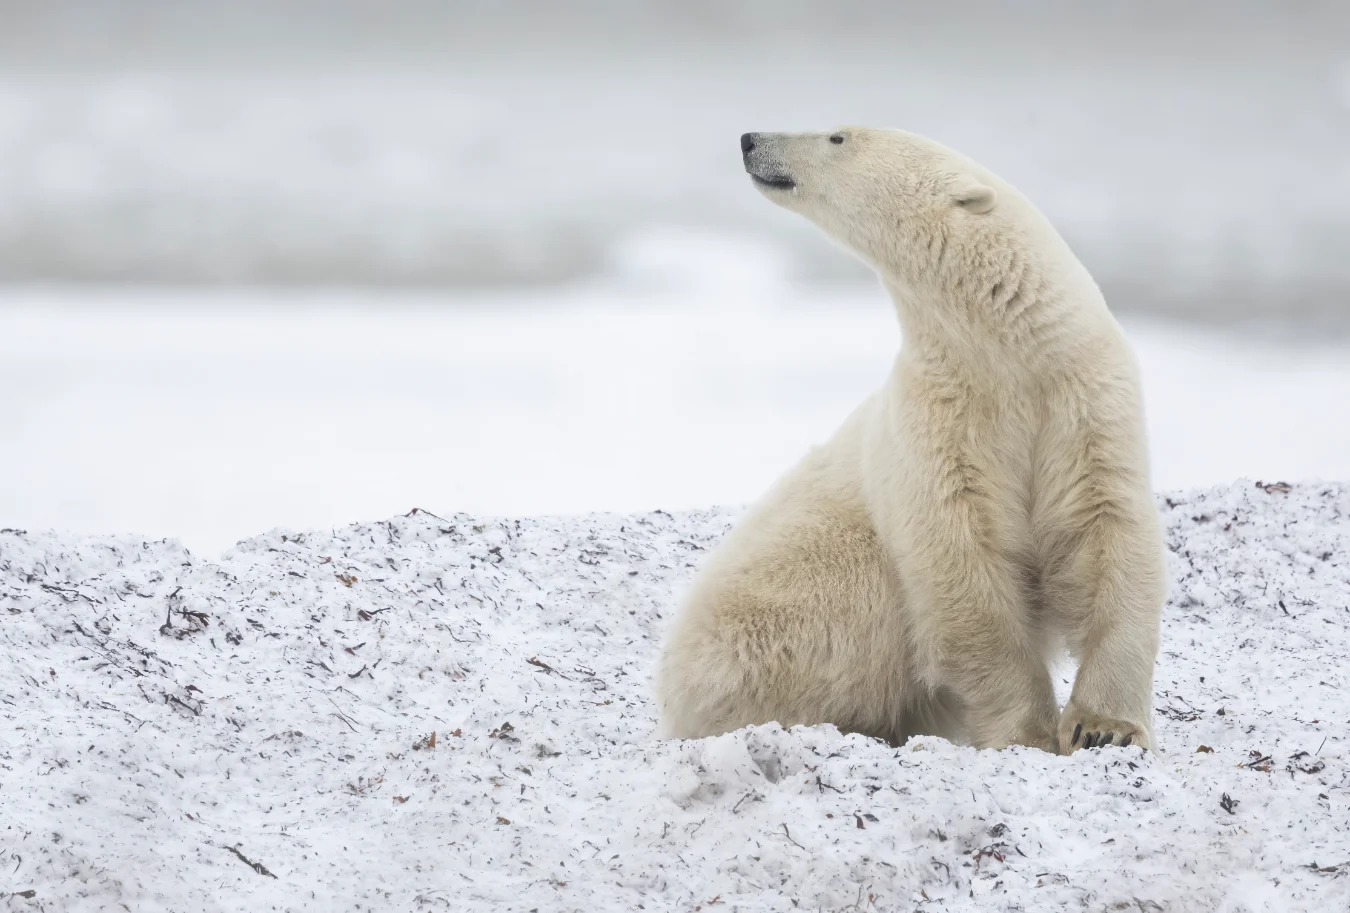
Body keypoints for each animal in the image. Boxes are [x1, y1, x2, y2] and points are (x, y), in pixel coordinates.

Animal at [653, 127, 1166, 755]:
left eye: (837, 135)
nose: (751, 139)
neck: (1010, 356)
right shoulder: (935, 425)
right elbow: (960, 566)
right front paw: (1028, 732)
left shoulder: (1086, 403)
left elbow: (1107, 531)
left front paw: (1104, 728)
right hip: (778, 606)